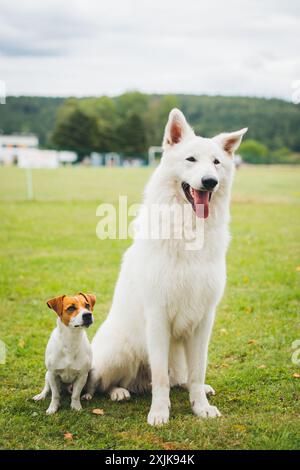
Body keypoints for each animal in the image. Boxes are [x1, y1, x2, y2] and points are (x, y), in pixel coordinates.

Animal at [85, 109, 247, 426]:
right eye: (191, 159)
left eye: (216, 162)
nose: (210, 182)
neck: (189, 230)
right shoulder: (158, 317)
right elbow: (160, 379)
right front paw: (160, 412)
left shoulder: (203, 320)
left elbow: (198, 371)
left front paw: (200, 407)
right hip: (119, 353)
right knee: (103, 382)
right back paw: (119, 392)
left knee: (182, 378)